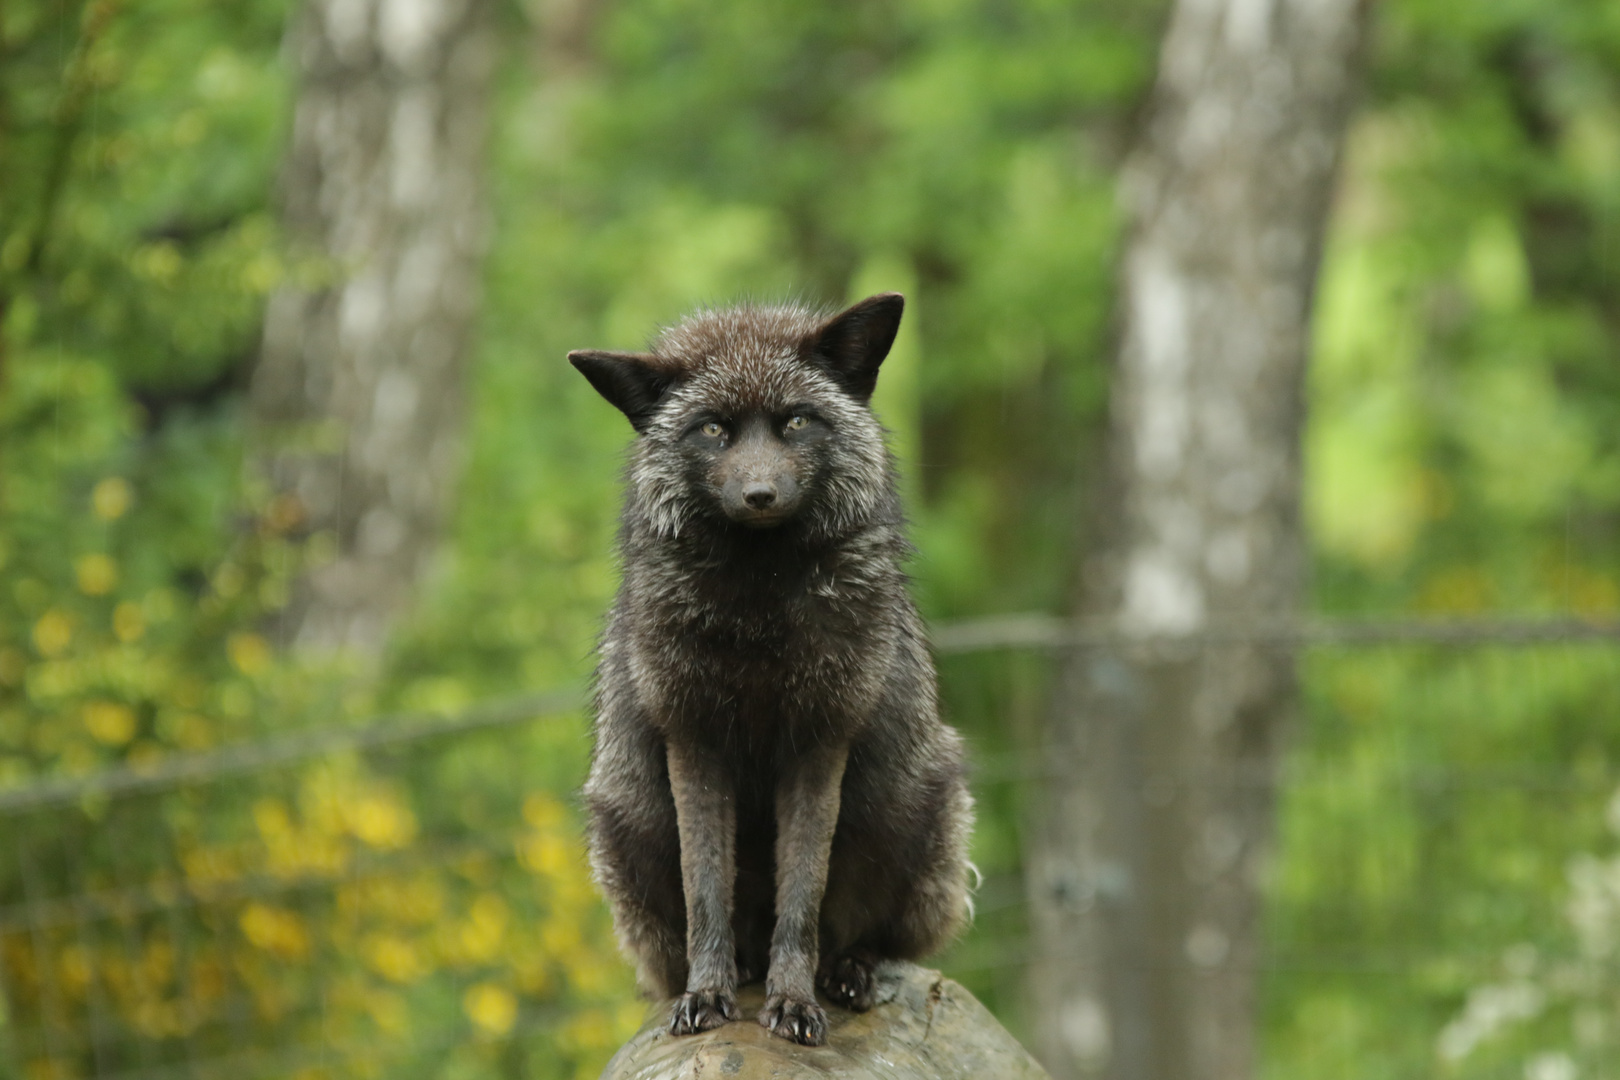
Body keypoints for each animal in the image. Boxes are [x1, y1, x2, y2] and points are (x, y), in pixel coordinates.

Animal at [573, 296, 972, 1049]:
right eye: (712, 429)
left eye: (795, 421)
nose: (760, 494)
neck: (759, 616)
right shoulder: (694, 742)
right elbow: (706, 892)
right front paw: (707, 994)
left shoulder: (819, 744)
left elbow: (803, 898)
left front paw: (793, 1002)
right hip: (629, 823)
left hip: (907, 807)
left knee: (876, 936)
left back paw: (847, 972)